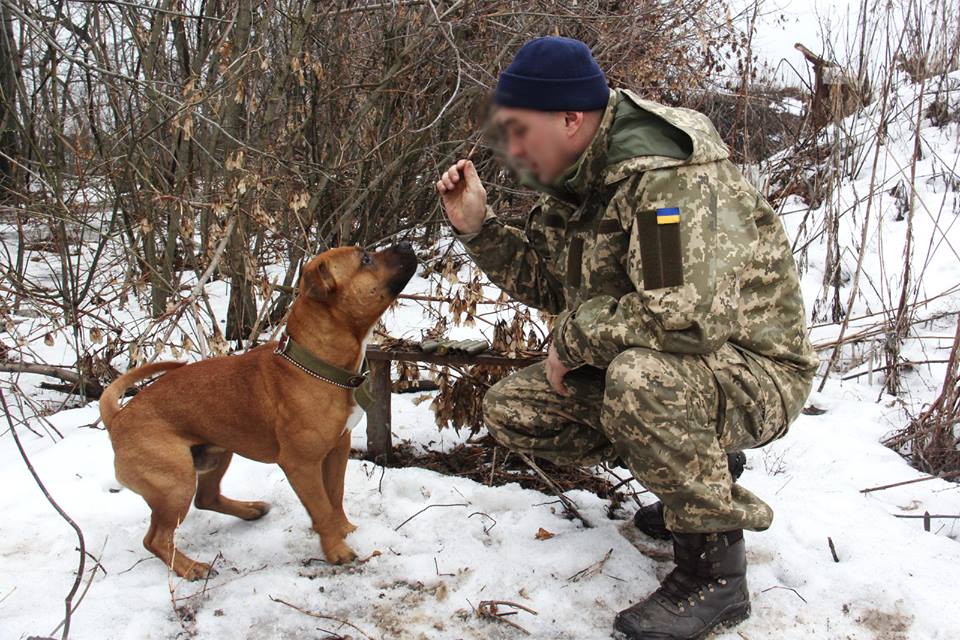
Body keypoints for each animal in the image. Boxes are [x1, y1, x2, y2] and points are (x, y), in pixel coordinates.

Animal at [100, 244, 416, 580]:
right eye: (365, 259)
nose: (407, 245)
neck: (316, 364)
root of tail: (117, 418)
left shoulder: (337, 448)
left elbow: (335, 495)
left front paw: (345, 530)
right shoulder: (301, 465)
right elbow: (321, 507)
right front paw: (336, 550)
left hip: (216, 454)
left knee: (206, 498)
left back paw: (250, 510)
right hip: (175, 485)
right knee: (156, 539)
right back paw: (191, 567)